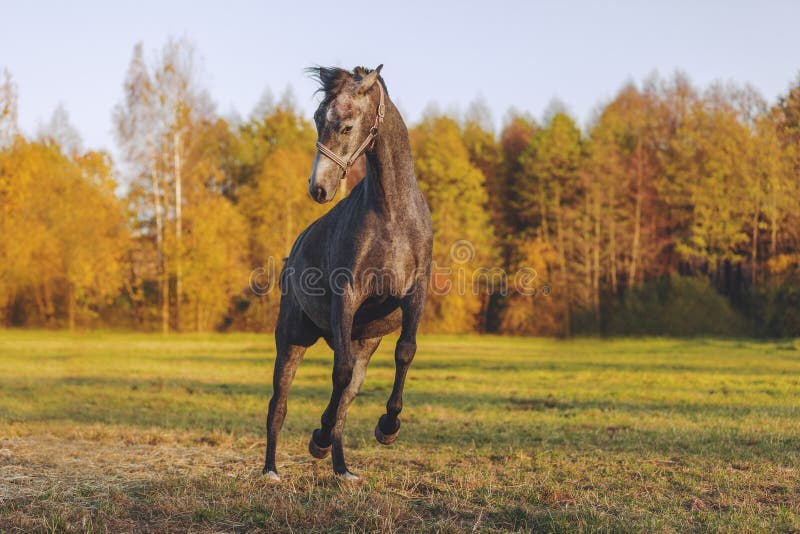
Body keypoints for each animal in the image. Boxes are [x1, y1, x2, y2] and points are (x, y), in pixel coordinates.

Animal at [264, 65, 434, 484]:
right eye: (316, 119)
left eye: (346, 126)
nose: (319, 188)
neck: (392, 214)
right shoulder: (348, 296)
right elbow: (338, 374)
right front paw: (319, 436)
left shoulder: (414, 296)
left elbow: (405, 352)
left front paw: (388, 427)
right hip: (291, 339)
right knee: (279, 405)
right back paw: (271, 470)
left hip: (364, 343)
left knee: (344, 403)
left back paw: (342, 469)